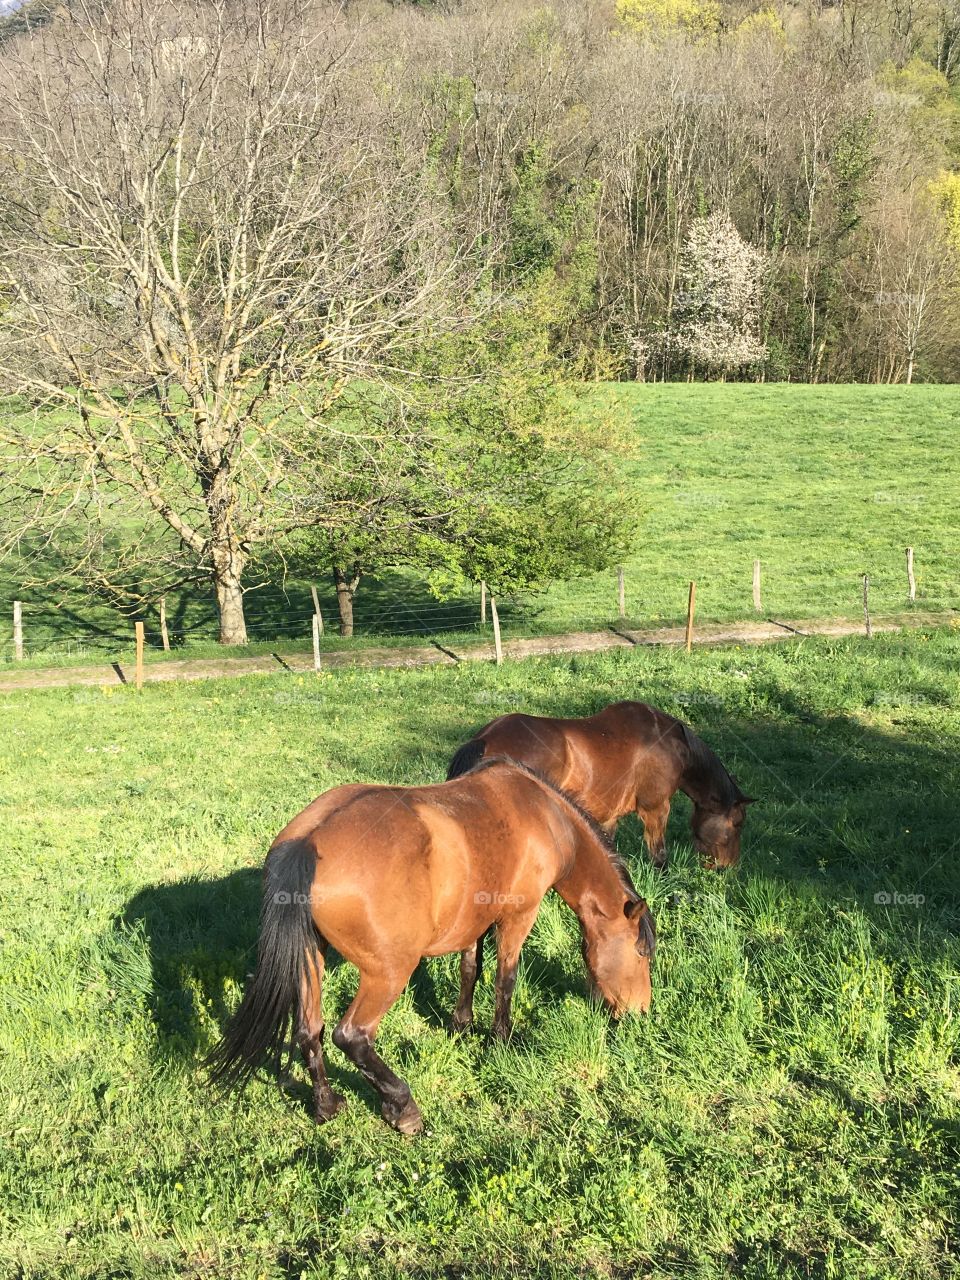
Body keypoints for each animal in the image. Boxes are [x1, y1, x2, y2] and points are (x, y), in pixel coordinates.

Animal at [206, 756, 656, 1135]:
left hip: (311, 957)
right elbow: (505, 979)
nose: (640, 1013)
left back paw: (327, 1105)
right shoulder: (518, 916)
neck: (544, 814)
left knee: (308, 1029)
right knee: (351, 1036)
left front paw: (460, 1025)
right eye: (641, 953)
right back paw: (402, 1108)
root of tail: (308, 842)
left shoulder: (474, 919)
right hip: (388, 974)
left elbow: (470, 968)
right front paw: (500, 1041)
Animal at [447, 702, 754, 871]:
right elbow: (660, 856)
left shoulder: (609, 816)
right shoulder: (656, 808)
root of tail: (485, 737)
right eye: (738, 823)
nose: (728, 867)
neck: (671, 742)